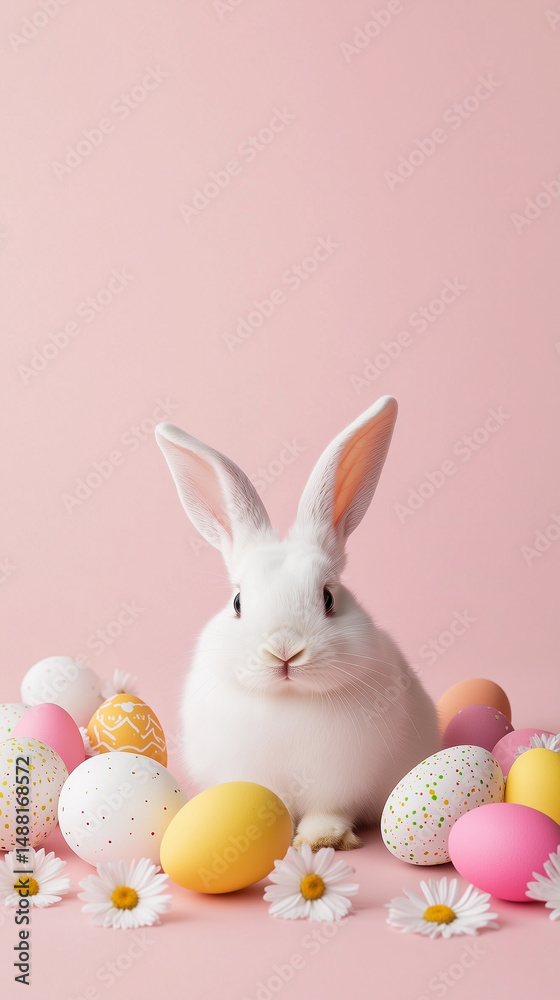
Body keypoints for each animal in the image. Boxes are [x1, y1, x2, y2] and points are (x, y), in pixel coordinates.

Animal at [155, 395, 440, 851]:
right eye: (238, 601)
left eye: (328, 597)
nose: (284, 651)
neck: (289, 701)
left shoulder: (340, 783)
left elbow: (329, 811)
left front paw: (322, 840)